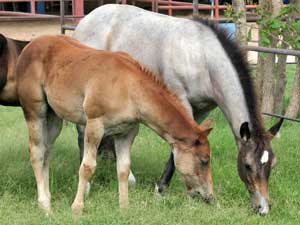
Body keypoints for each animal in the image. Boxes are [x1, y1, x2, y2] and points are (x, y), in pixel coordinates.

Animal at [15, 35, 213, 214]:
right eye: (204, 160)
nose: (210, 197)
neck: (130, 88)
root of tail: (29, 46)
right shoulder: (94, 126)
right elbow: (87, 167)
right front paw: (77, 208)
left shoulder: (126, 132)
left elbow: (123, 169)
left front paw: (124, 208)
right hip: (35, 112)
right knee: (36, 151)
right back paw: (45, 205)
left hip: (54, 117)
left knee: (47, 152)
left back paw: (47, 197)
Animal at [73, 3, 284, 214]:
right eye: (247, 165)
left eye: (272, 164)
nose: (263, 208)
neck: (202, 57)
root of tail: (87, 19)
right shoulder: (181, 101)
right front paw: (161, 189)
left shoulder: (202, 110)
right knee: (82, 133)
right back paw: (89, 185)